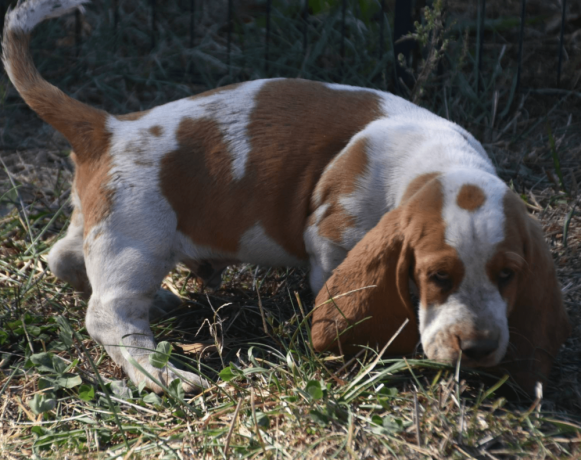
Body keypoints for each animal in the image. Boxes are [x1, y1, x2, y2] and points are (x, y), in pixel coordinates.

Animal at [3, 0, 568, 396]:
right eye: (437, 277)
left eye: (508, 275)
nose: (479, 349)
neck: (440, 165)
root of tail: (107, 127)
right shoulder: (333, 240)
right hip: (138, 240)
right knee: (108, 313)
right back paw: (160, 375)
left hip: (106, 227)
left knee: (63, 258)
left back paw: (160, 302)